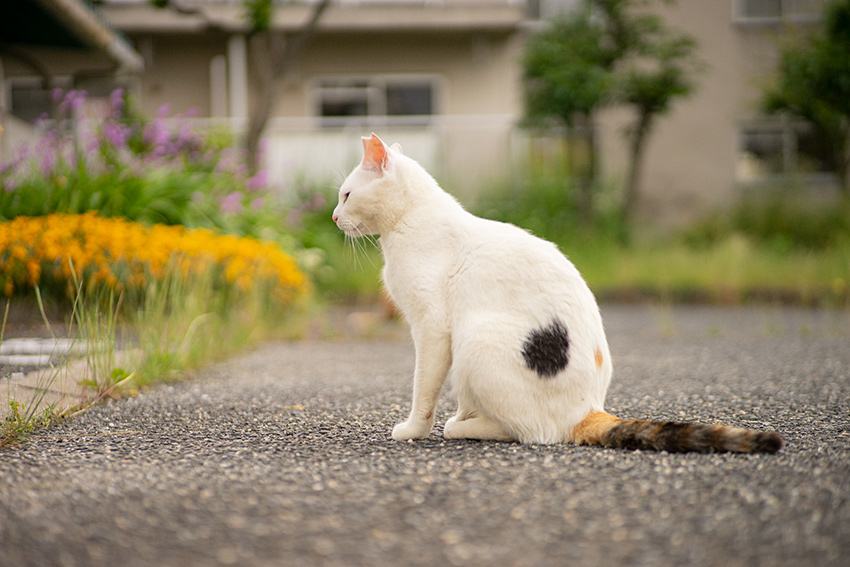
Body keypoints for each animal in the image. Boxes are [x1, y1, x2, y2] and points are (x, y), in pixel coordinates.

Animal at [332, 132, 780, 452]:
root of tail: (589, 408)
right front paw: (451, 415)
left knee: (532, 432)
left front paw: (414, 428)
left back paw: (464, 427)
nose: (334, 217)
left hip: (477, 340)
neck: (409, 222)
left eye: (347, 194)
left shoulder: (433, 328)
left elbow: (423, 387)